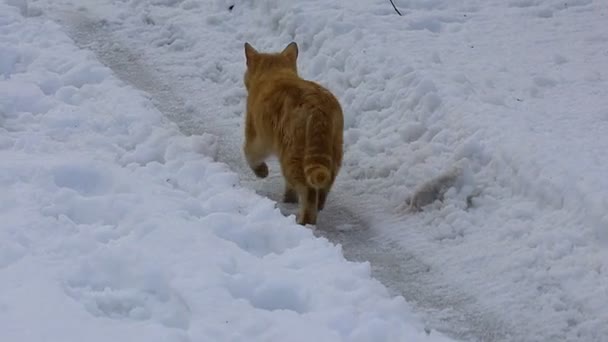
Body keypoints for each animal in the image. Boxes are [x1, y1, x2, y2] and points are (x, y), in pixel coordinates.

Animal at [245, 41, 344, 226]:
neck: (274, 74)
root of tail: (318, 107)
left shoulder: (257, 136)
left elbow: (250, 154)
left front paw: (261, 171)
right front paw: (289, 197)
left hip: (292, 157)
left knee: (308, 192)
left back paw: (304, 221)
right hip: (333, 152)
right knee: (325, 185)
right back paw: (319, 205)